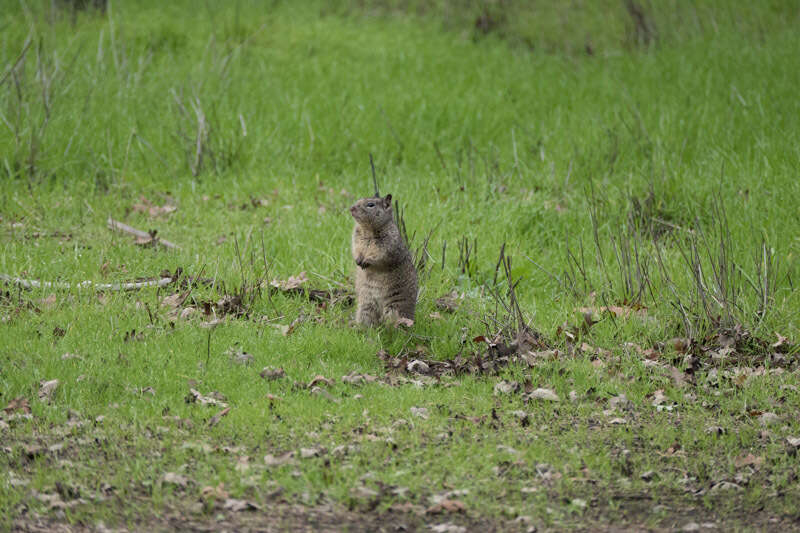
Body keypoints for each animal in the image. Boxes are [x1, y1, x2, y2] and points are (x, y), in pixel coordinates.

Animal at [350, 193, 418, 326]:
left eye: (370, 204)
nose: (351, 209)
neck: (367, 229)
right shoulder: (357, 238)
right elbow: (356, 249)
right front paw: (358, 259)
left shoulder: (388, 244)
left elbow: (379, 255)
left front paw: (367, 261)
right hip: (366, 306)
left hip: (395, 307)